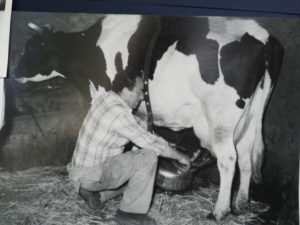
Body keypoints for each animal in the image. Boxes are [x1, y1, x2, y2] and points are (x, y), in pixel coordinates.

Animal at [15, 15, 284, 220]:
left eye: (31, 48)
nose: (14, 73)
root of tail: (265, 37)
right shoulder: (141, 113)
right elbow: (139, 144)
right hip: (249, 116)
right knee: (246, 155)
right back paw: (241, 203)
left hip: (220, 118)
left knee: (229, 159)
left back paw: (219, 211)